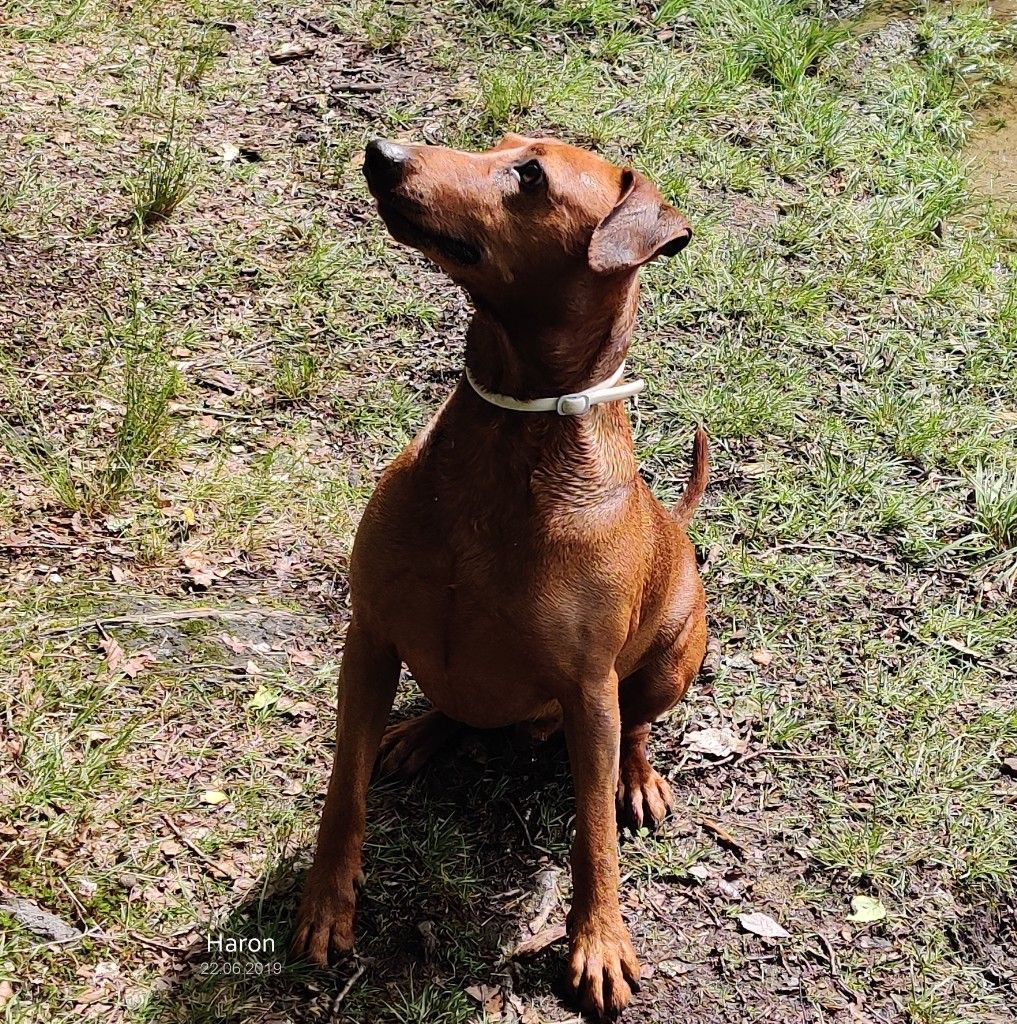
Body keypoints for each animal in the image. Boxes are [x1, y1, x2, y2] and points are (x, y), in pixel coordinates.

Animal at [292, 133, 708, 1017]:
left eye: (530, 176)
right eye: (498, 144)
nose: (381, 150)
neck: (511, 441)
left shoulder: (589, 691)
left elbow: (591, 838)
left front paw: (599, 941)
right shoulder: (369, 636)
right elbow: (344, 790)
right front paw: (325, 902)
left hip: (671, 658)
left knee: (638, 728)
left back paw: (637, 777)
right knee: (457, 708)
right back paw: (421, 732)